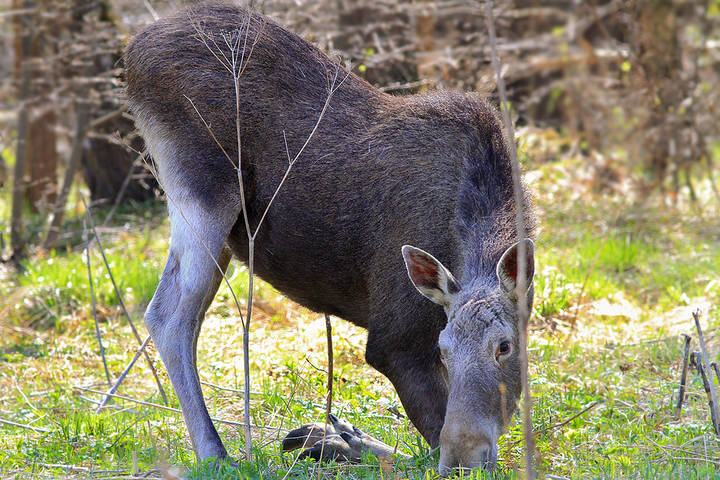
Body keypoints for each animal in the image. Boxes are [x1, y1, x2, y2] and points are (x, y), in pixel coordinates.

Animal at [124, 1, 535, 474]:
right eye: (444, 349)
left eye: (505, 346)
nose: (465, 458)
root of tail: (133, 54)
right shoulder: (396, 339)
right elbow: (427, 446)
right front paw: (342, 442)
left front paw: (335, 437)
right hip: (203, 193)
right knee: (168, 316)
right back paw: (216, 452)